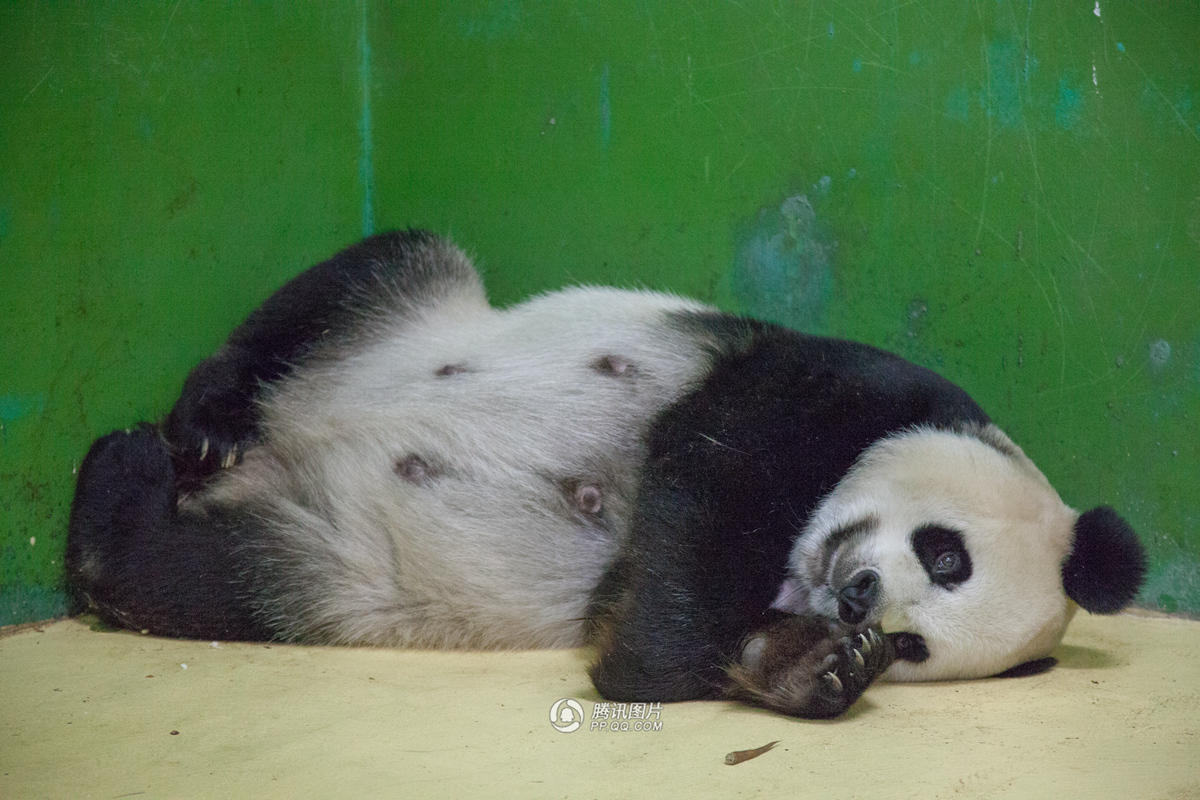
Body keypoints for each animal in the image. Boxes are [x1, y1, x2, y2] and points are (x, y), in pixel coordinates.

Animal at [66, 230, 1147, 719]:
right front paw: (657, 656)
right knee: (364, 275)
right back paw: (191, 423)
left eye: (915, 644)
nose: (856, 597)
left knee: (193, 576)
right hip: (405, 315)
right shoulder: (831, 386)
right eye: (946, 552)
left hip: (329, 569)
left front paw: (805, 664)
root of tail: (274, 454)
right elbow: (705, 483)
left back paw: (121, 510)